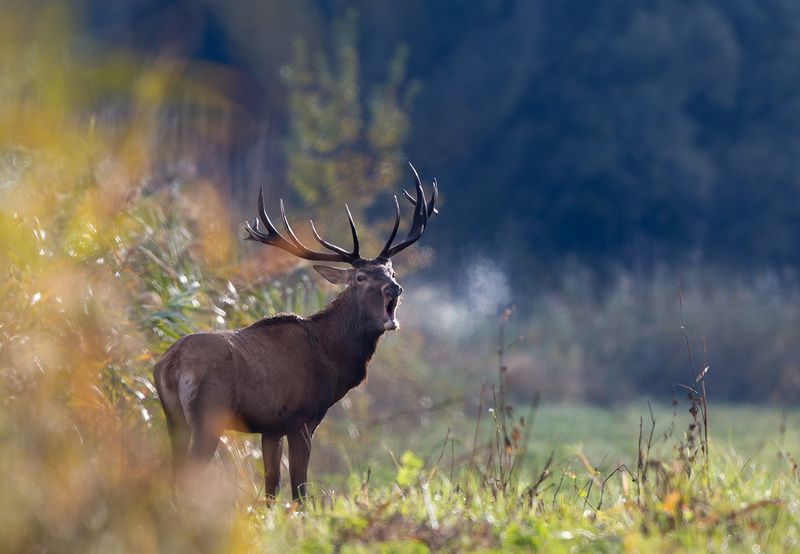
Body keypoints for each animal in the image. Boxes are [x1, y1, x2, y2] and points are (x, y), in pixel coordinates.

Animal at [153, 164, 437, 502]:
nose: (394, 288)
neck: (333, 358)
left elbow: (271, 488)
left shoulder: (271, 426)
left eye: (391, 272)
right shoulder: (303, 418)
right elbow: (299, 490)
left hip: (172, 417)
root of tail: (171, 363)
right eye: (360, 277)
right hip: (208, 414)